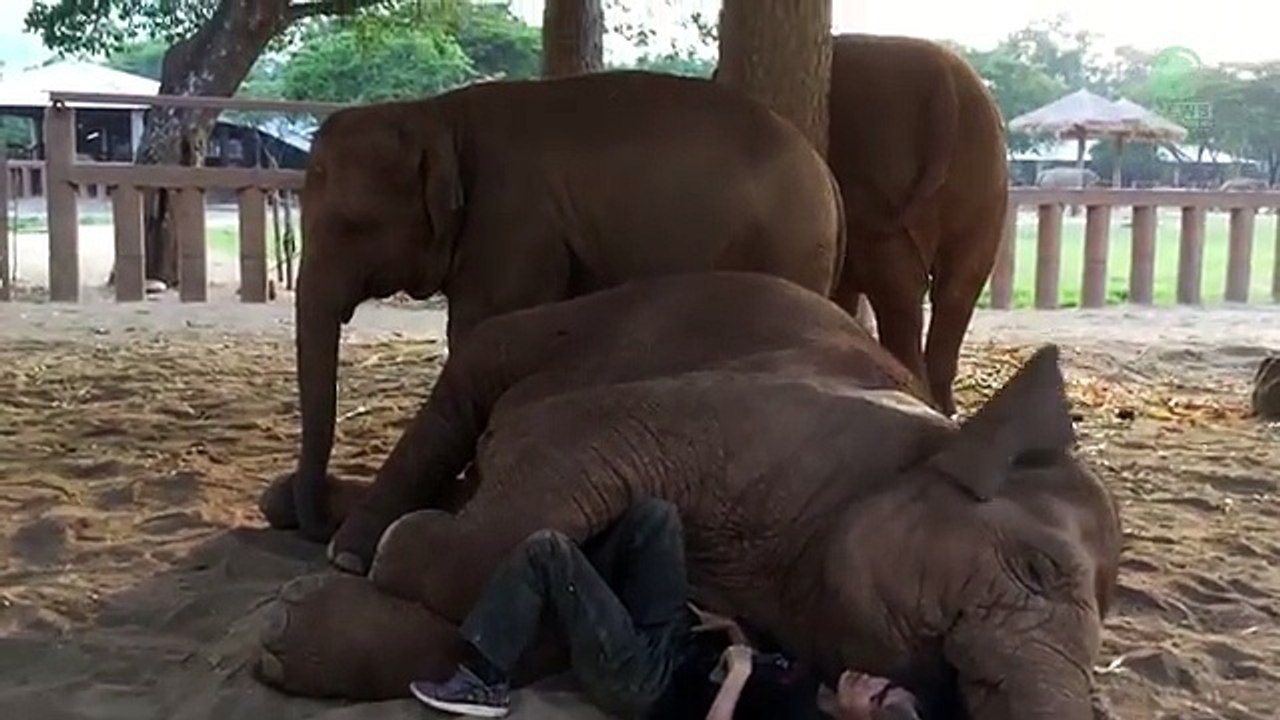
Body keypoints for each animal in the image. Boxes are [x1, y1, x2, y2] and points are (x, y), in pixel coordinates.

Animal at [257, 272, 1124, 720]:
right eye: (1038, 569)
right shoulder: (748, 423)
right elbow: (568, 448)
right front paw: (390, 553)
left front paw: (288, 636)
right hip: (546, 331)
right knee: (465, 393)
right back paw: (351, 542)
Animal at [283, 70, 847, 541]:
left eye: (351, 225)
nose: (313, 524)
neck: (435, 115)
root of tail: (828, 179)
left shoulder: (514, 227)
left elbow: (478, 330)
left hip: (784, 249)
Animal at [825, 33, 1010, 418]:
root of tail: (944, 79)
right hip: (986, 174)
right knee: (958, 285)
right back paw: (942, 405)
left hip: (884, 156)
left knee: (899, 286)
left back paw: (915, 394)